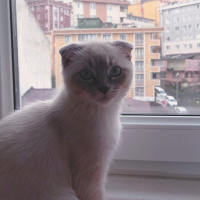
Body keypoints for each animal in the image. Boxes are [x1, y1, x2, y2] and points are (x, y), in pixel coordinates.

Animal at [0, 40, 133, 200]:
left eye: (115, 71)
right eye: (86, 74)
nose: (104, 88)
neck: (106, 113)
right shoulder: (90, 175)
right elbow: (96, 195)